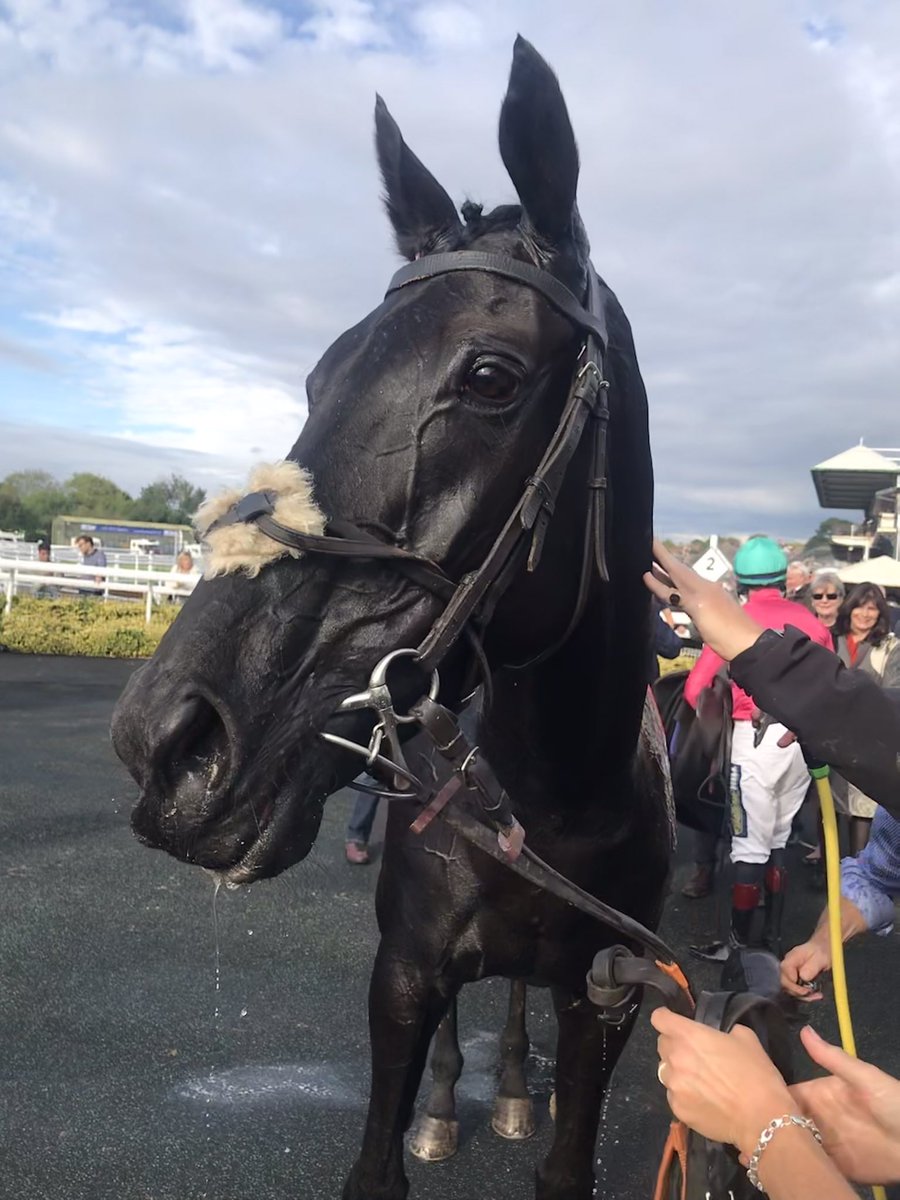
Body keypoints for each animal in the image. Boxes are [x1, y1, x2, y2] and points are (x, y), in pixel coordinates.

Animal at [112, 37, 673, 1200]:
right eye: (321, 374)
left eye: (491, 375)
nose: (167, 741)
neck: (556, 804)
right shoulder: (402, 976)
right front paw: (431, 1115)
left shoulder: (607, 997)